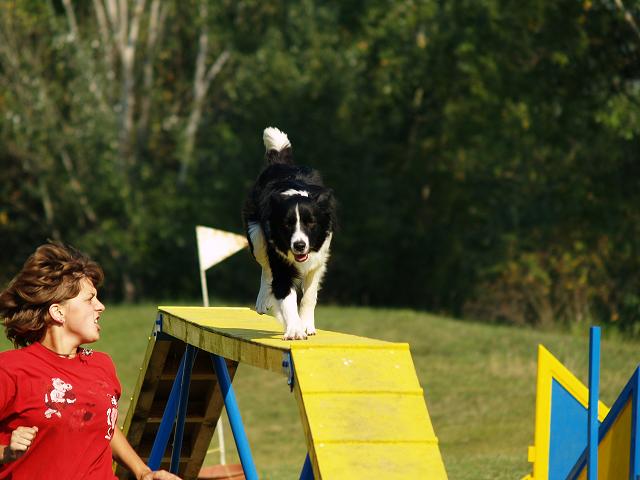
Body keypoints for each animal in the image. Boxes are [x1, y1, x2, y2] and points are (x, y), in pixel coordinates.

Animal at [242, 125, 338, 340]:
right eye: (287, 225)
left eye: (310, 223)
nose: (299, 245)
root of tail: (279, 164)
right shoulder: (280, 261)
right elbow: (286, 296)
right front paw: (294, 329)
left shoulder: (318, 261)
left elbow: (309, 296)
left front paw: (307, 326)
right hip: (256, 236)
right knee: (265, 268)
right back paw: (263, 302)